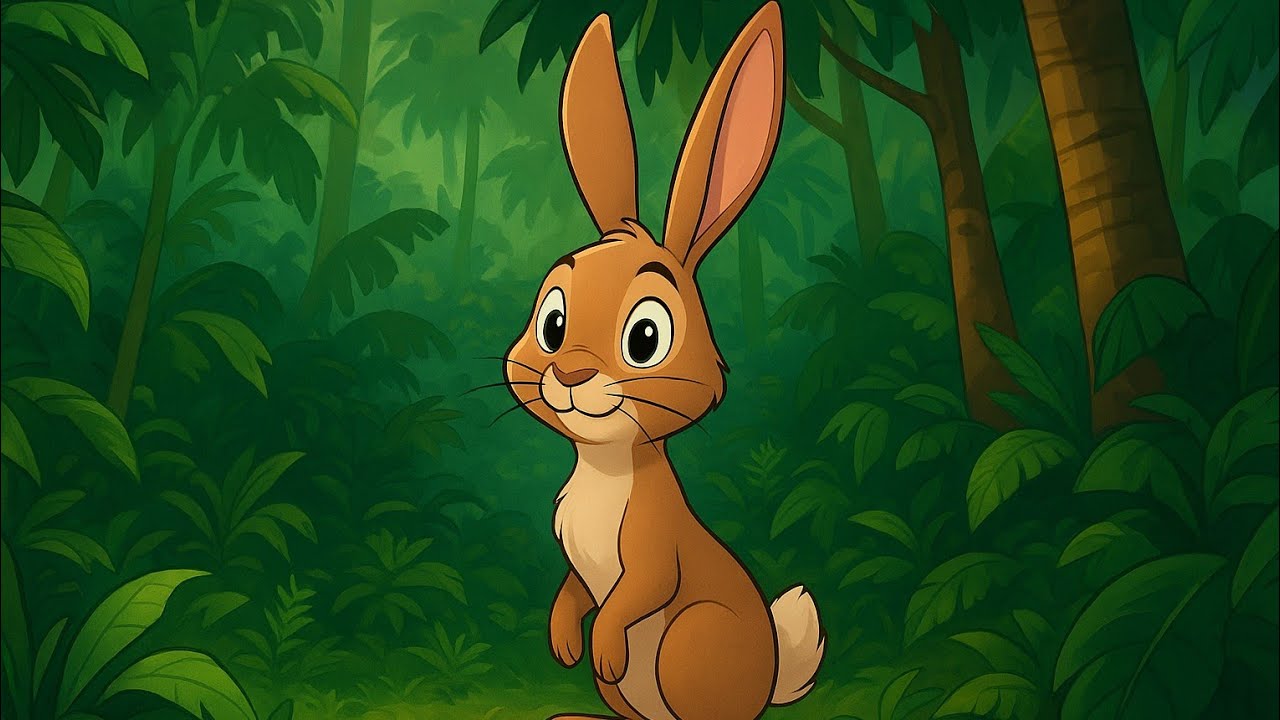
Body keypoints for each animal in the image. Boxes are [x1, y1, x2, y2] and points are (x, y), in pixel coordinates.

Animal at [502, 3, 825, 719]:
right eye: (552, 323)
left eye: (645, 338)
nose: (569, 373)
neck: (605, 466)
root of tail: (768, 682)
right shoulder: (575, 559)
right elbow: (574, 588)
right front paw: (564, 644)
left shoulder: (654, 551)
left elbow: (633, 595)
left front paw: (601, 646)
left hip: (690, 641)